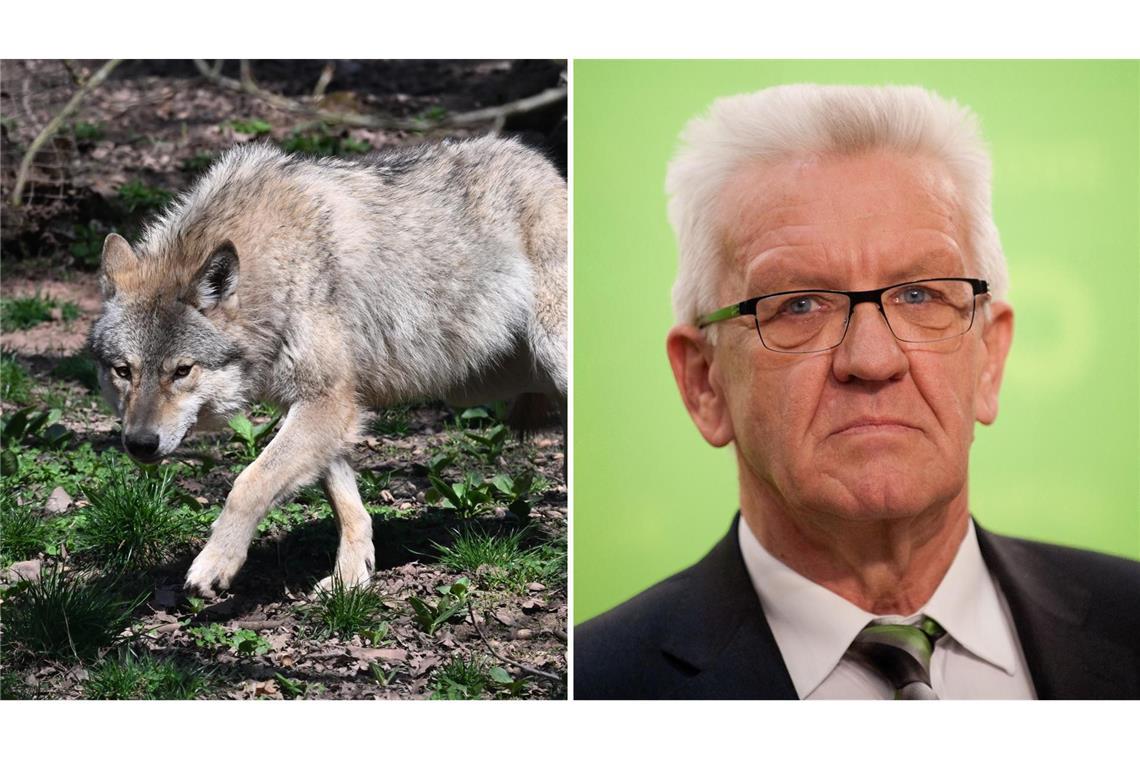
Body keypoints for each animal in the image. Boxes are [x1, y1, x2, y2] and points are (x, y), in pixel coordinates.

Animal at [88, 136, 567, 598]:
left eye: (182, 370)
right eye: (124, 371)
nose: (140, 444)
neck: (278, 268)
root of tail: (548, 168)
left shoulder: (328, 402)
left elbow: (249, 483)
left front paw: (215, 563)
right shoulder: (322, 409)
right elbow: (347, 506)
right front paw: (350, 578)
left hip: (548, 359)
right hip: (492, 382)